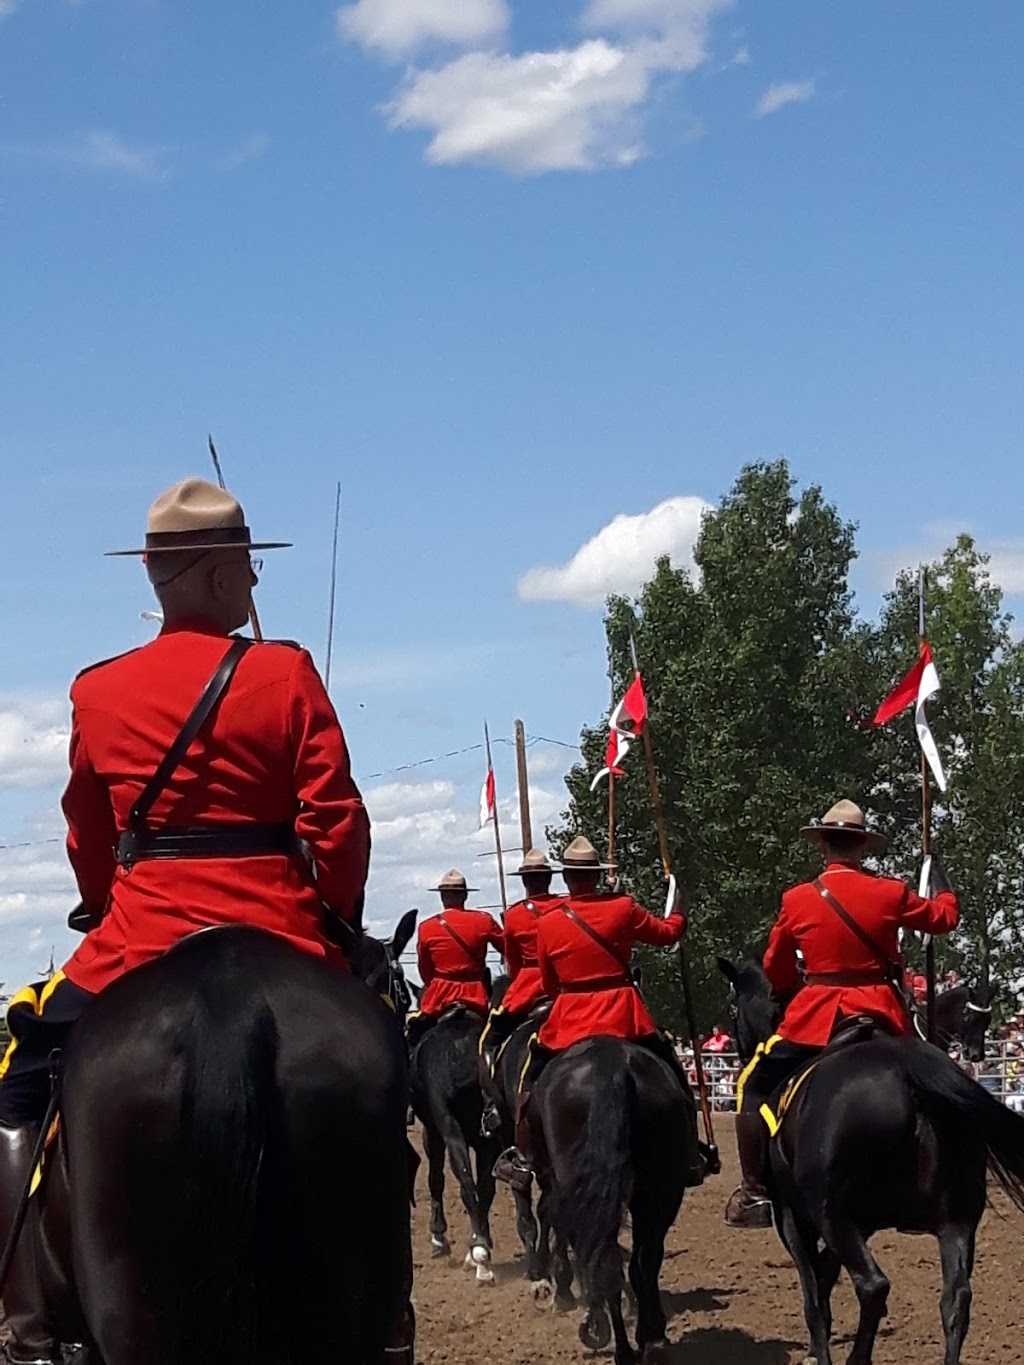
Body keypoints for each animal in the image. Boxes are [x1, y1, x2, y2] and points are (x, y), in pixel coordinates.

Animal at [409, 1004, 505, 1277]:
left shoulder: (433, 1130)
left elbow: (436, 1179)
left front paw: (438, 1237)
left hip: (449, 1129)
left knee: (465, 1181)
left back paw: (478, 1252)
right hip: (486, 1140)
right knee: (482, 1188)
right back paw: (479, 1248)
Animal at [524, 1031, 693, 1365]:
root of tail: (612, 1067)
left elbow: (552, 1221)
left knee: (603, 1261)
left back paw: (617, 1343)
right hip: (661, 1192)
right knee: (642, 1261)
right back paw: (651, 1341)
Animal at [720, 960, 1024, 1365]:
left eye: (732, 1007)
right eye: (972, 1017)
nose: (977, 1054)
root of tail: (906, 1068)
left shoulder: (793, 1217)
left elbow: (814, 1294)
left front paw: (818, 1350)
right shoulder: (860, 1224)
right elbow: (825, 1275)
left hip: (832, 1216)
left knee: (873, 1286)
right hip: (955, 1222)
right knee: (956, 1299)